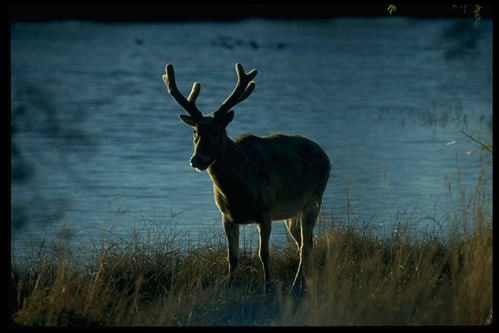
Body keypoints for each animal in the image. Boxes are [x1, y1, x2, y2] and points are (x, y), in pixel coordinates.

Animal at [162, 63, 330, 292]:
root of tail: (324, 154)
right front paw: (229, 286)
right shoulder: (227, 217)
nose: (197, 159)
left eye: (216, 131)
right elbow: (232, 257)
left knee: (305, 245)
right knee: (307, 242)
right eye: (194, 132)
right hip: (292, 213)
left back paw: (296, 284)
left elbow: (263, 254)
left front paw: (268, 286)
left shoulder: (265, 212)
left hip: (314, 199)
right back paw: (306, 282)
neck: (237, 193)